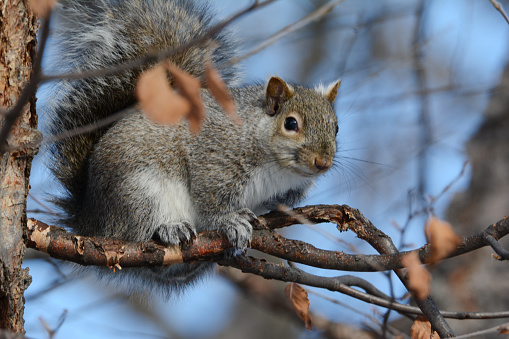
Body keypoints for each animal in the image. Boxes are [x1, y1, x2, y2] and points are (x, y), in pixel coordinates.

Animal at [42, 0, 338, 294]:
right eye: (291, 123)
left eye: (336, 127)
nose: (323, 163)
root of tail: (90, 221)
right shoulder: (215, 160)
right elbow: (209, 200)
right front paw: (228, 221)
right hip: (138, 192)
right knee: (137, 234)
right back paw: (169, 229)